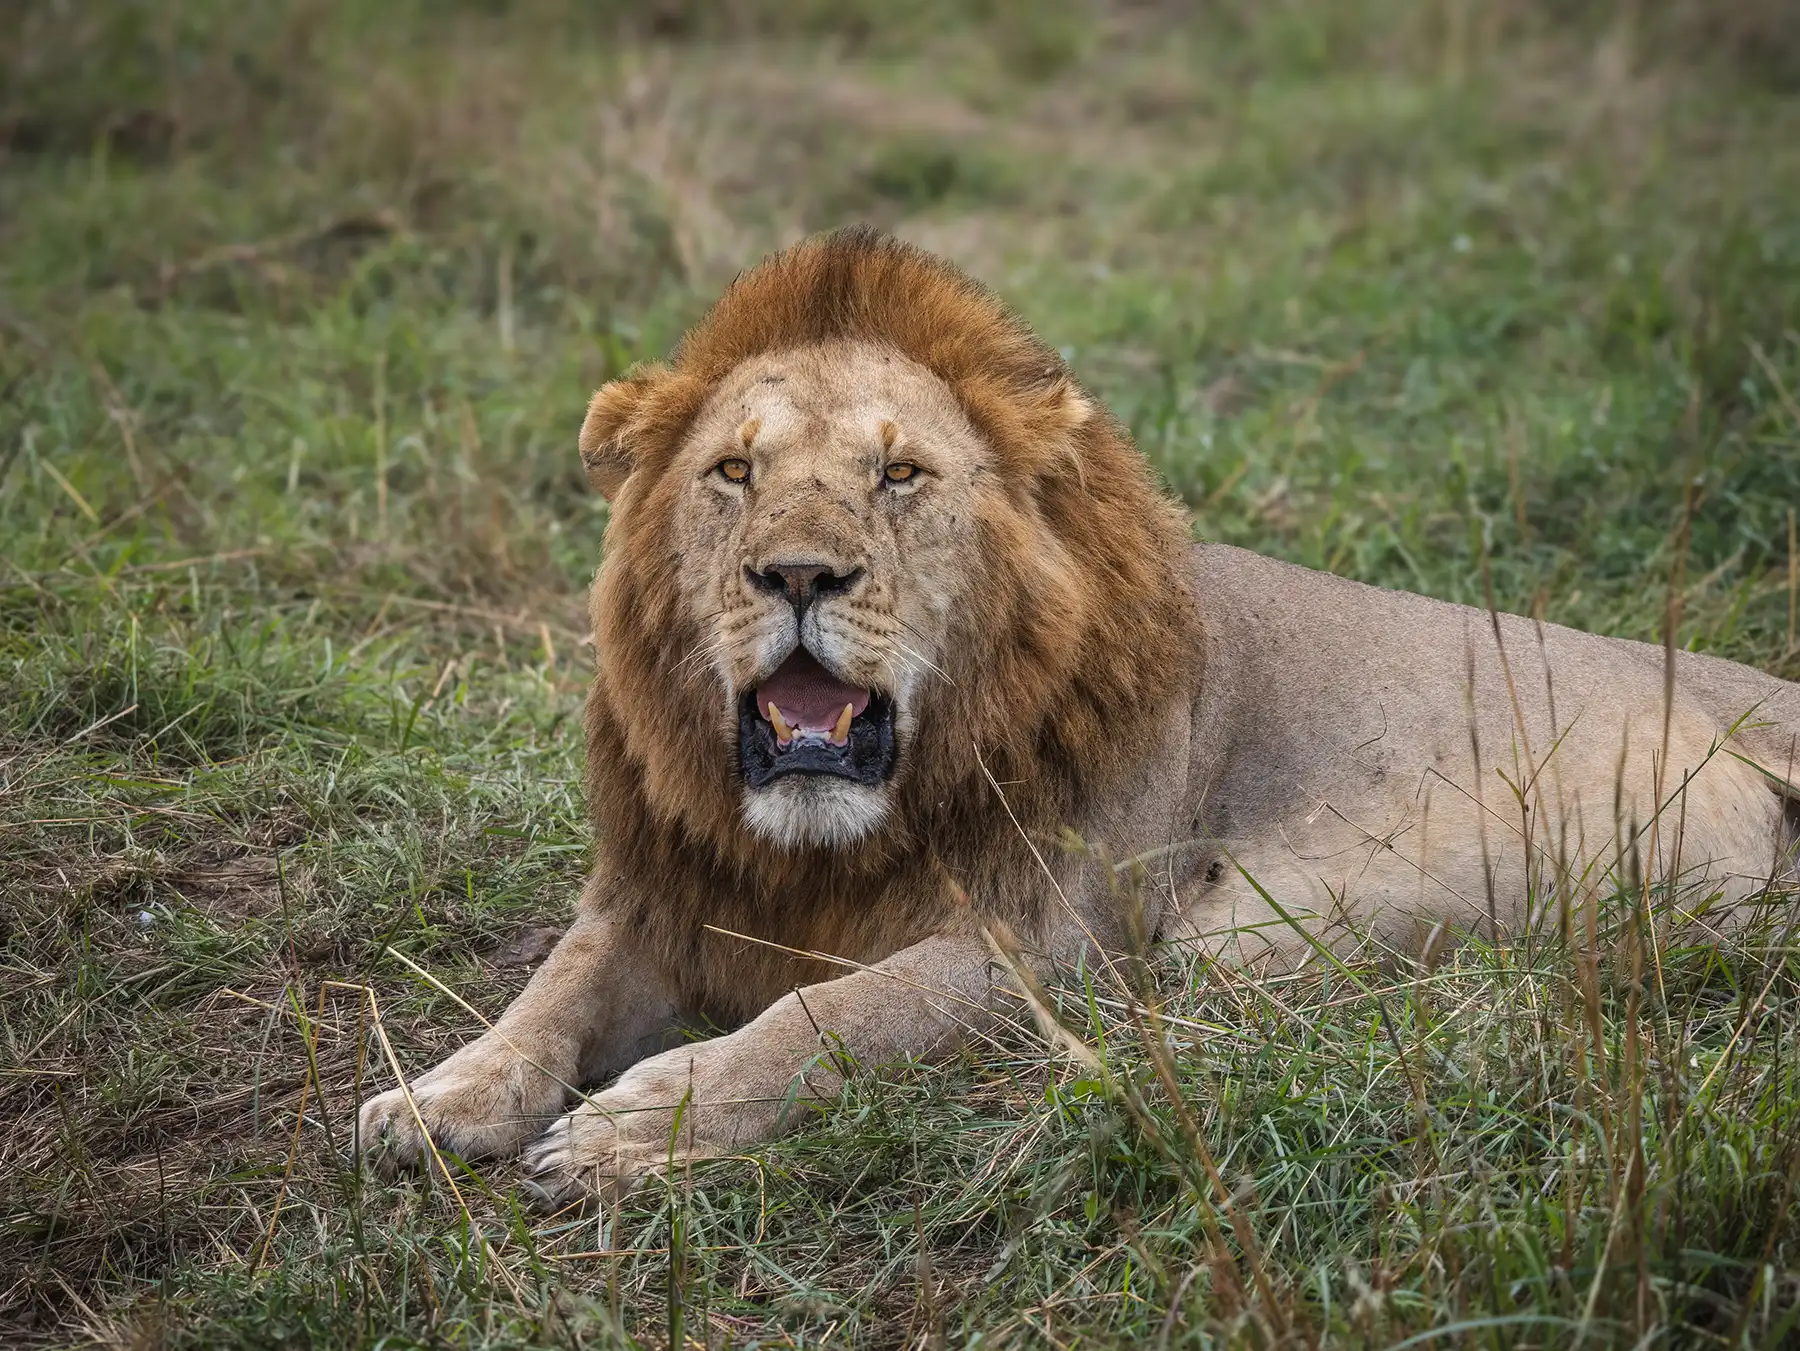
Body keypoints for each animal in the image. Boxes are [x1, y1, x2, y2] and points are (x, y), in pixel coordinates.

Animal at [354, 224, 1800, 1201]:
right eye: (733, 472)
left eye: (898, 475)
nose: (800, 574)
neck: (819, 844)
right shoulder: (669, 887)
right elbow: (554, 983)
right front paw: (443, 1097)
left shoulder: (1053, 948)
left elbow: (830, 1021)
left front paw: (631, 1125)